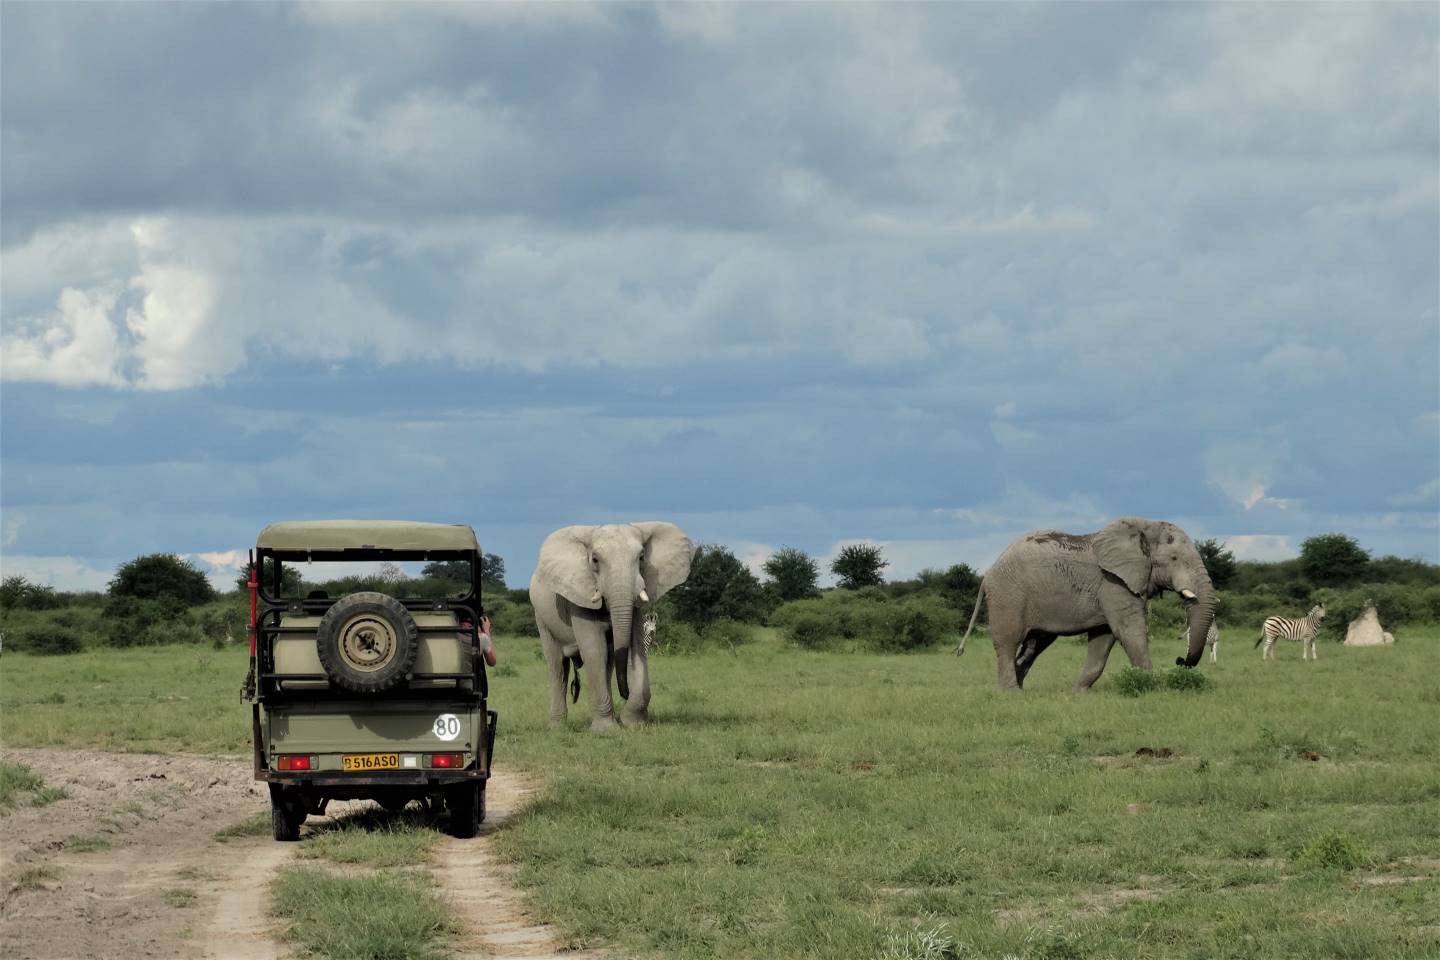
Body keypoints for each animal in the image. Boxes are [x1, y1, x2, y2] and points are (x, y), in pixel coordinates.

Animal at [532, 521, 694, 731]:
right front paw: (605, 730)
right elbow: (595, 651)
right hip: (541, 617)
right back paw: (557, 728)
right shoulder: (579, 596)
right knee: (558, 665)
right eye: (594, 560)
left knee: (607, 664)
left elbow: (636, 649)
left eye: (642, 557)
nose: (625, 693)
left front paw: (633, 723)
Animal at [956, 518, 1215, 690]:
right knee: (1008, 643)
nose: (1180, 660)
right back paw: (1010, 693)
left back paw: (1021, 689)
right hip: (1008, 596)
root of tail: (987, 574)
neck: (1142, 526)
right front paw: (1150, 685)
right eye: (1174, 558)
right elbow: (1130, 630)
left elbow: (1104, 638)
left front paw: (1078, 693)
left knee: (1034, 646)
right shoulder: (1113, 582)